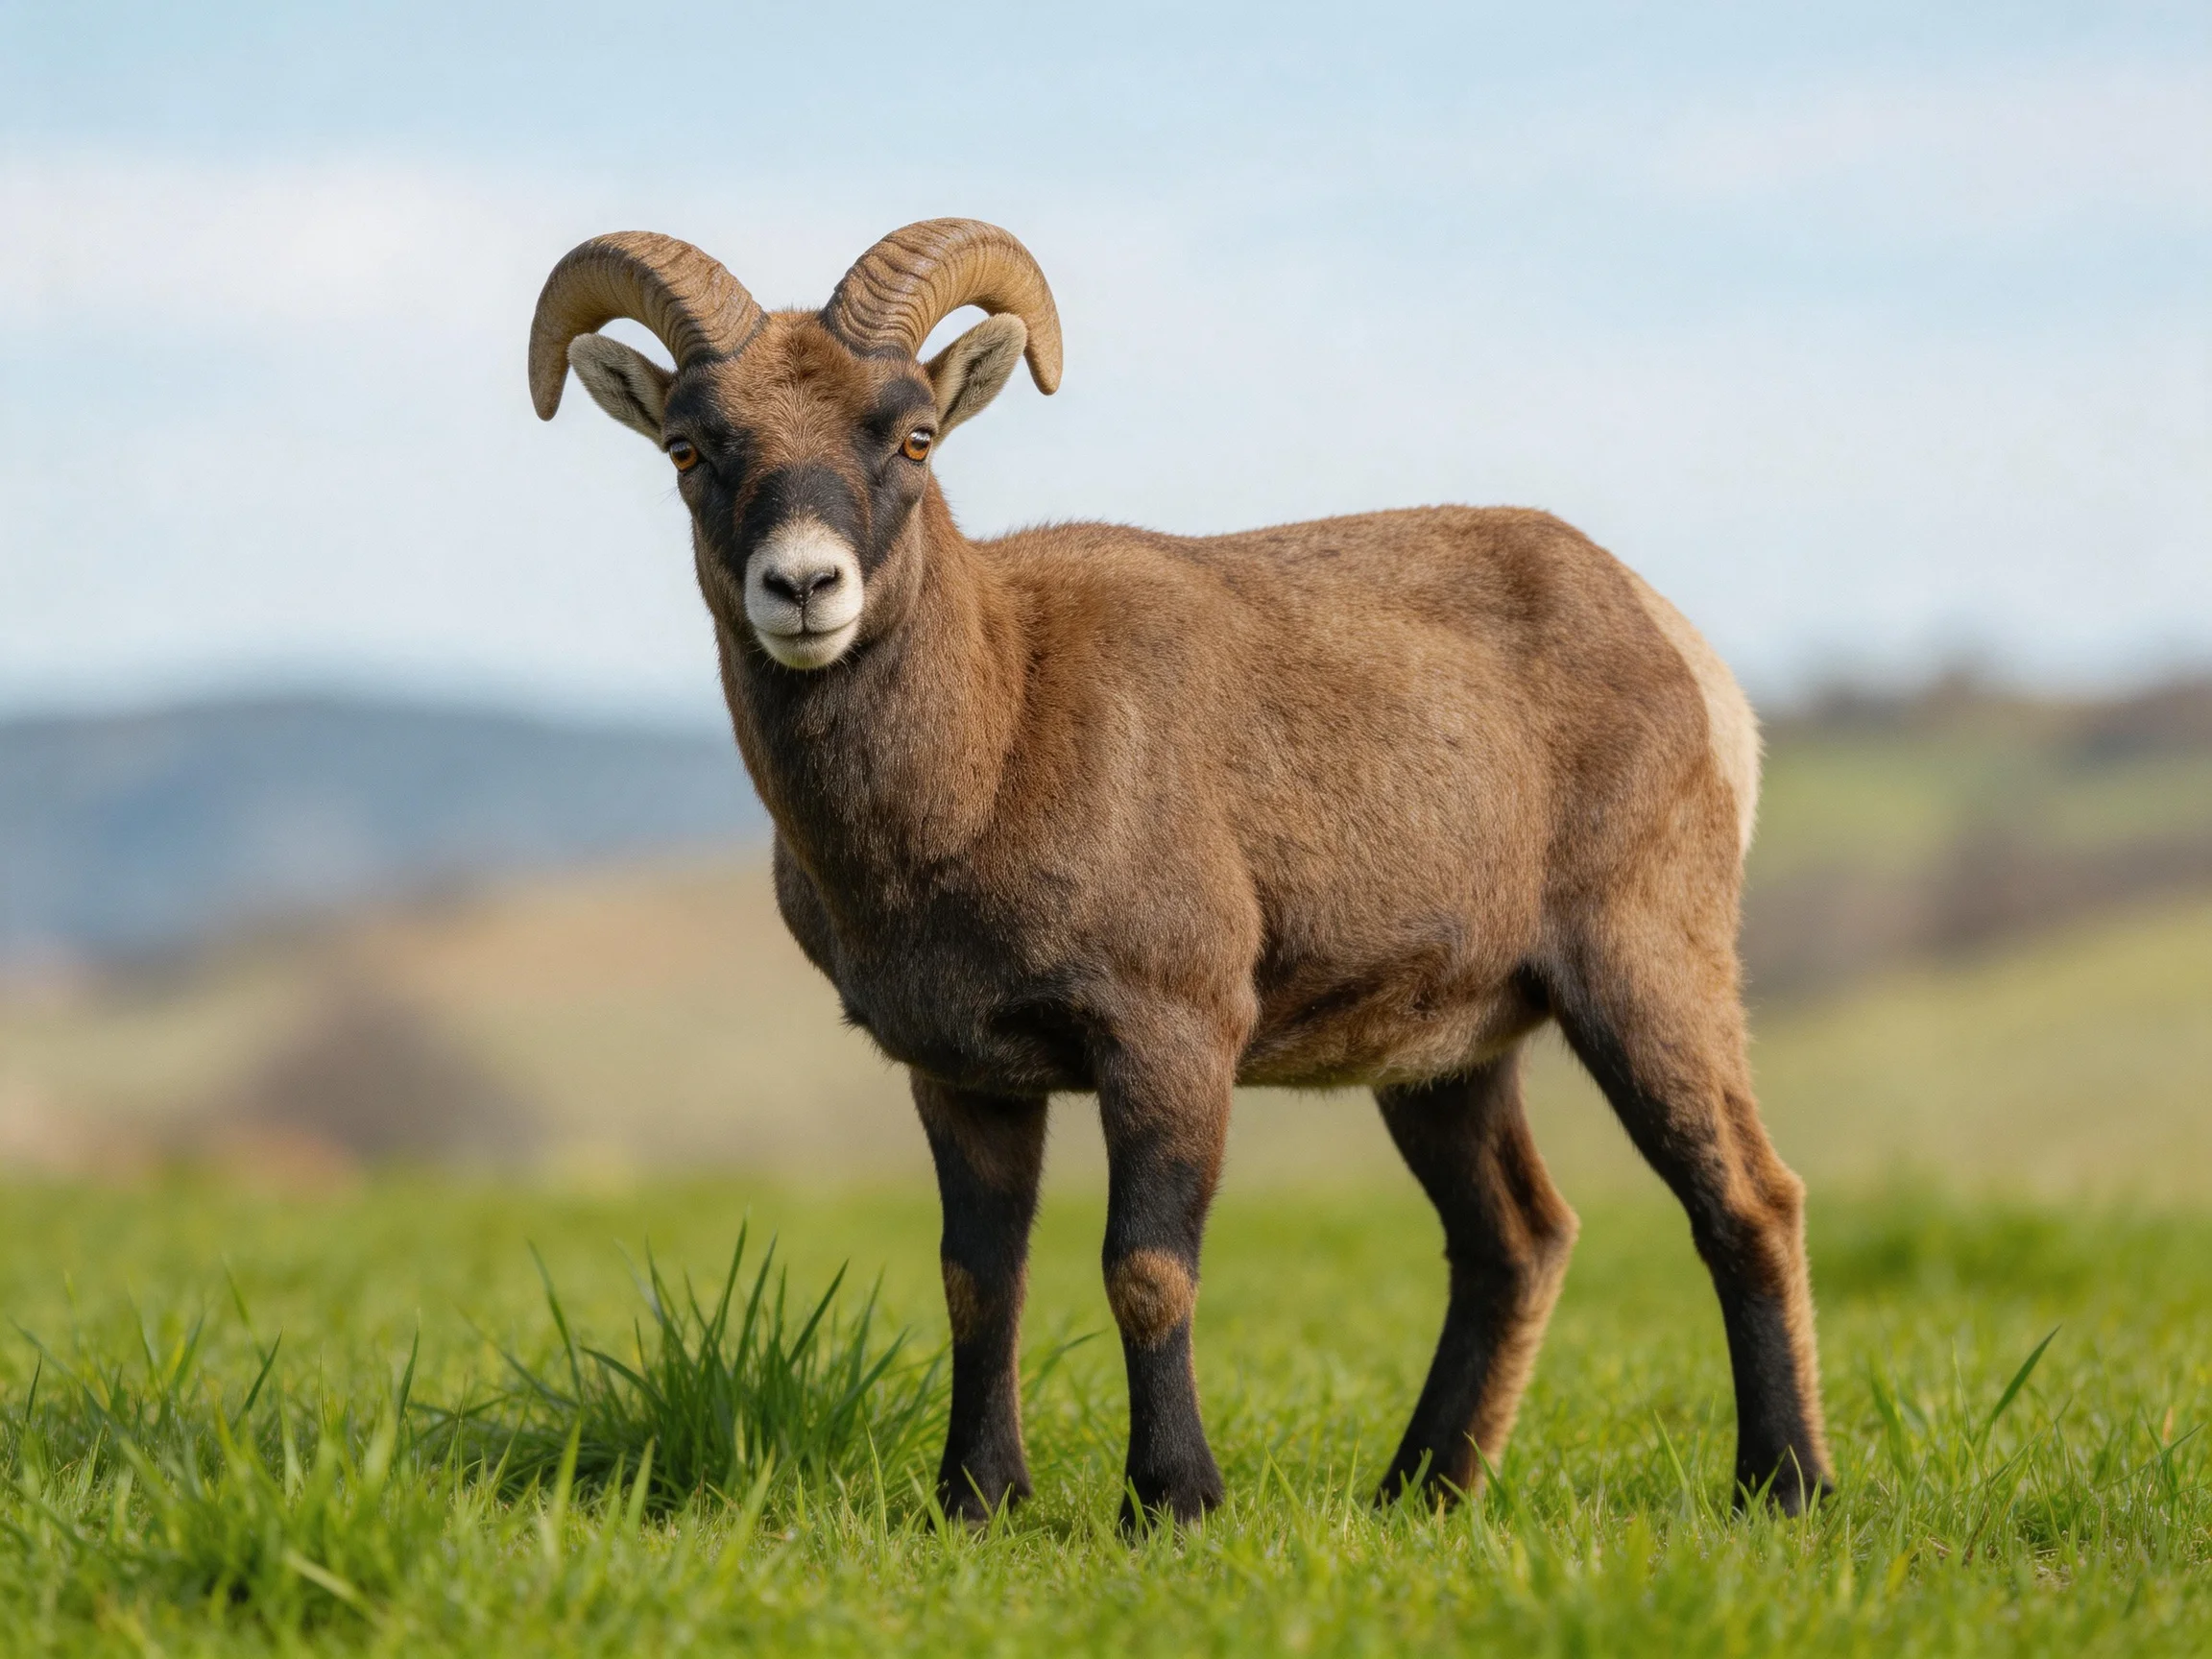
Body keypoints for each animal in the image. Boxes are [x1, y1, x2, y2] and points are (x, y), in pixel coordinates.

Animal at [528, 219, 1833, 1528]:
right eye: (691, 447)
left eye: (912, 435)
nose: (803, 588)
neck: (995, 740)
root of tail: (1686, 653)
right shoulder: (962, 1078)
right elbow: (979, 1281)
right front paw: (980, 1500)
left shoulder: (1172, 1039)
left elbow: (1146, 1270)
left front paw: (1172, 1501)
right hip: (1446, 1063)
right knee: (1515, 1239)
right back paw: (1419, 1492)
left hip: (1645, 976)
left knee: (1746, 1200)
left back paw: (1783, 1487)